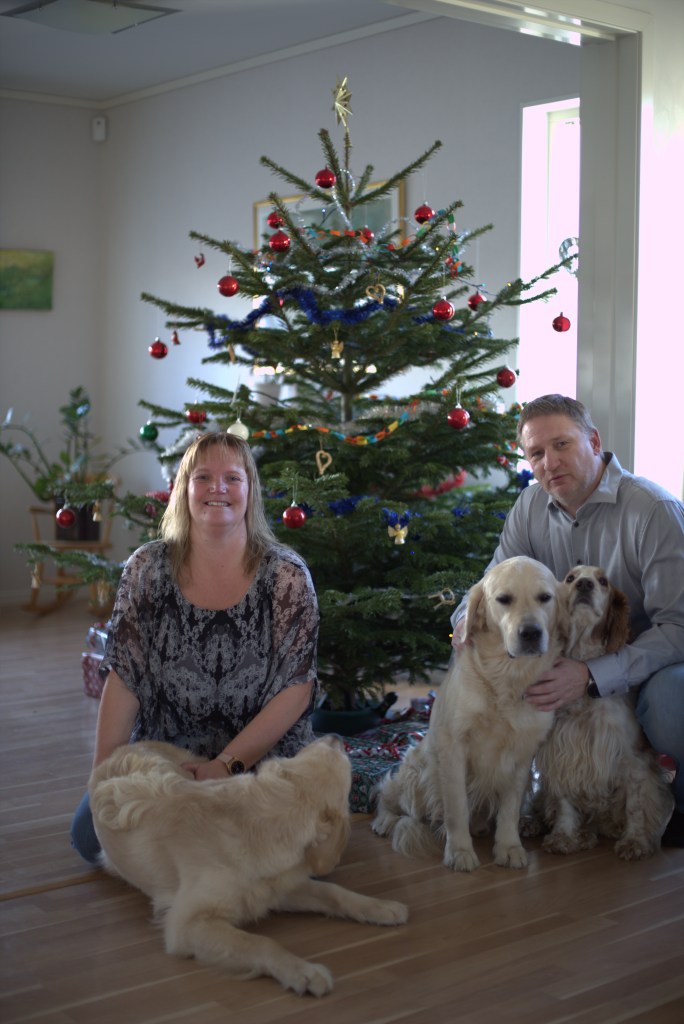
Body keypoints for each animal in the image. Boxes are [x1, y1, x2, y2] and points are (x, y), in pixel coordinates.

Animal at [89, 736, 408, 997]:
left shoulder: (273, 888)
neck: (258, 822)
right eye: (340, 757)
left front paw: (381, 907)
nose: (335, 735)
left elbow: (333, 892)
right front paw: (303, 972)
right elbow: (261, 943)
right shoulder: (185, 925)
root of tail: (129, 745)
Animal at [372, 556, 564, 872]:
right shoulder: (453, 749)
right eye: (504, 599)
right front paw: (459, 851)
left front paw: (509, 847)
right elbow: (456, 807)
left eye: (545, 598)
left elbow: (510, 808)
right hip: (418, 771)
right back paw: (385, 821)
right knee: (394, 801)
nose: (531, 633)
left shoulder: (522, 753)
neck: (506, 679)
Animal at [533, 565, 674, 859]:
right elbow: (564, 802)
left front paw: (634, 841)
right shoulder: (563, 750)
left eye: (603, 581)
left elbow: (636, 805)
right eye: (570, 578)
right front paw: (563, 836)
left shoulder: (633, 758)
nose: (585, 585)